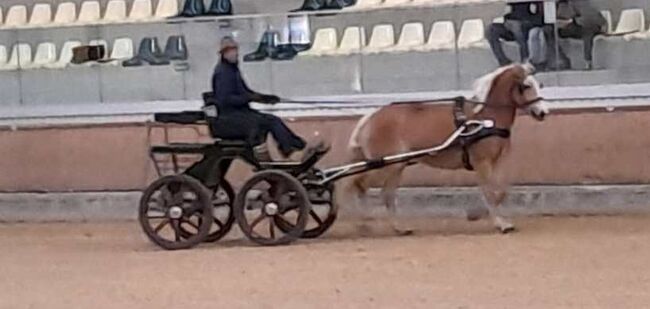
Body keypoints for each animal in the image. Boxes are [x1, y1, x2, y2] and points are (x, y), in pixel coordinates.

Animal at [344, 63, 548, 233]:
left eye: (539, 84)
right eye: (526, 86)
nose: (543, 113)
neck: (486, 118)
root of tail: (371, 117)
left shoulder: (496, 162)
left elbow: (501, 191)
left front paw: (479, 214)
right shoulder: (482, 163)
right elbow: (490, 191)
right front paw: (498, 222)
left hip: (396, 166)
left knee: (384, 194)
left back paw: (399, 228)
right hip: (387, 165)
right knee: (357, 184)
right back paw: (362, 223)